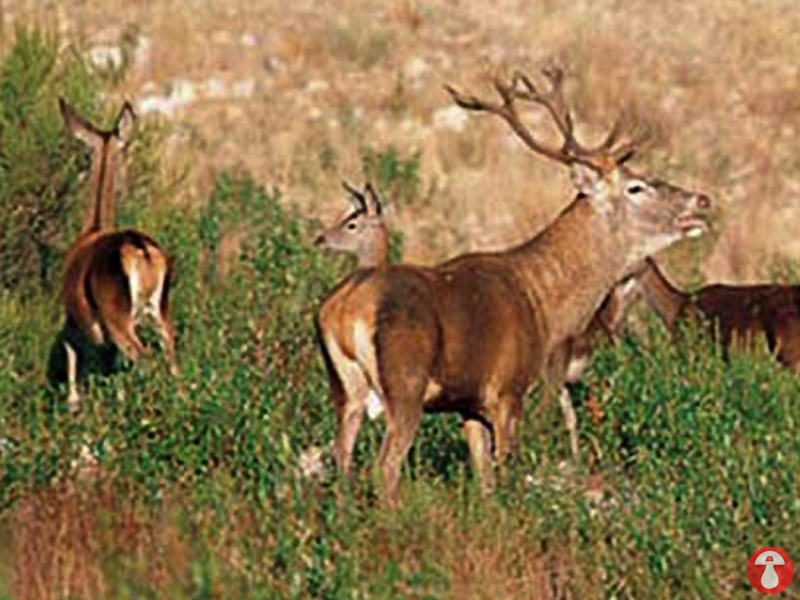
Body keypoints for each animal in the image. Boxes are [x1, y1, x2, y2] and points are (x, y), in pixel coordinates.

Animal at [58, 98, 177, 410]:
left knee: (146, 359)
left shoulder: (75, 322)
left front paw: (74, 404)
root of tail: (140, 248)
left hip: (119, 320)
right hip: (160, 311)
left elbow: (72, 357)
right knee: (172, 360)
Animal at [316, 65, 708, 506]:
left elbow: (484, 480)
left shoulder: (469, 405)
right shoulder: (508, 392)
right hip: (405, 384)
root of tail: (344, 309)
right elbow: (505, 476)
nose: (701, 200)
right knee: (384, 467)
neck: (543, 304)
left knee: (342, 457)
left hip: (344, 389)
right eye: (636, 186)